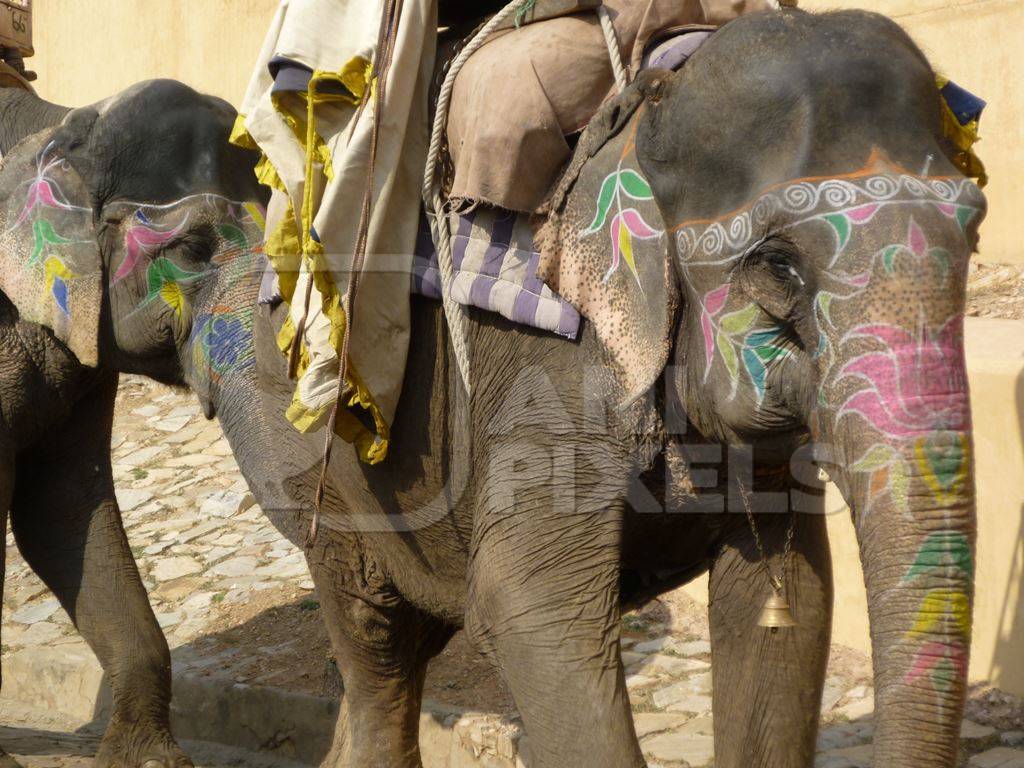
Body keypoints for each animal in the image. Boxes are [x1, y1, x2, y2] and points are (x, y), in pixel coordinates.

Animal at [0, 9, 987, 768]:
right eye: (778, 265)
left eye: (974, 234)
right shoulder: (553, 373)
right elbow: (529, 612)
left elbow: (785, 604)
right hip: (341, 482)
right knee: (377, 643)